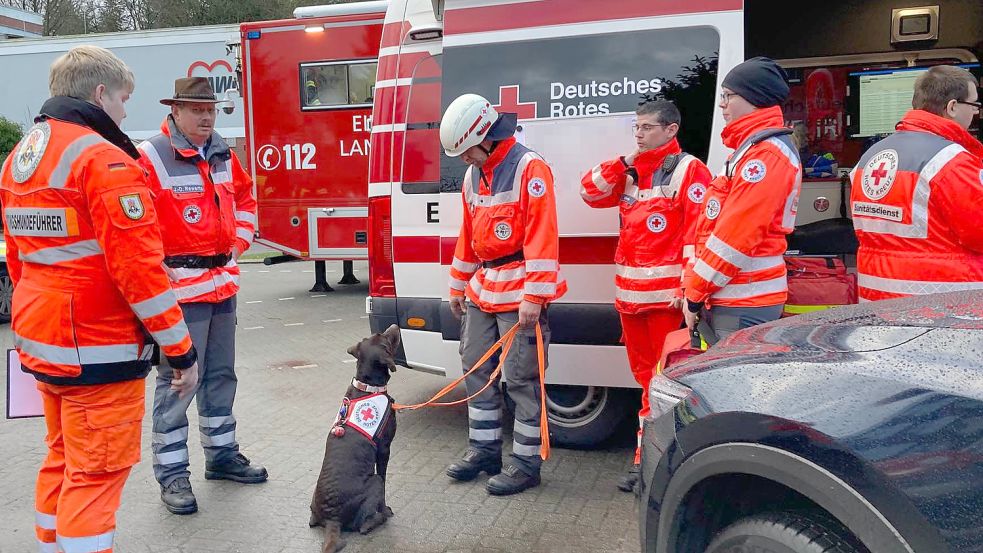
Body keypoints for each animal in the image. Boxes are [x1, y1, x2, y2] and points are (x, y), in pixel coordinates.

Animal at [308, 324, 400, 552]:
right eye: (384, 338)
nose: (394, 325)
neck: (368, 386)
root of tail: (332, 519)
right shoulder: (384, 449)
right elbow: (384, 480)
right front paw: (385, 509)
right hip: (374, 481)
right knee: (364, 525)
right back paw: (379, 518)